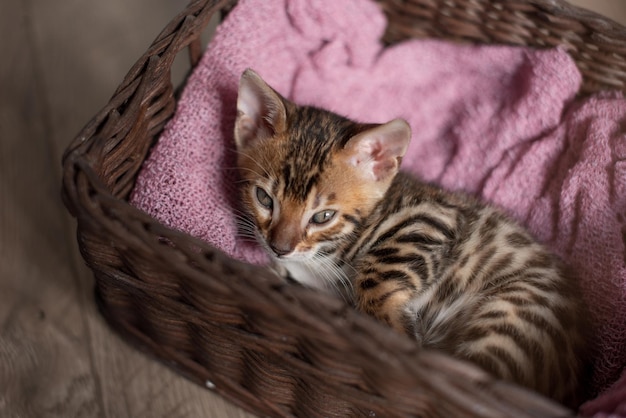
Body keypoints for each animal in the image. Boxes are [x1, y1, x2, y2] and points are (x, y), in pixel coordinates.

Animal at [232, 69, 588, 408]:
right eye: (264, 199)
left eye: (323, 217)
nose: (279, 248)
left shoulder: (430, 218)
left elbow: (374, 282)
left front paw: (394, 337)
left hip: (511, 316)